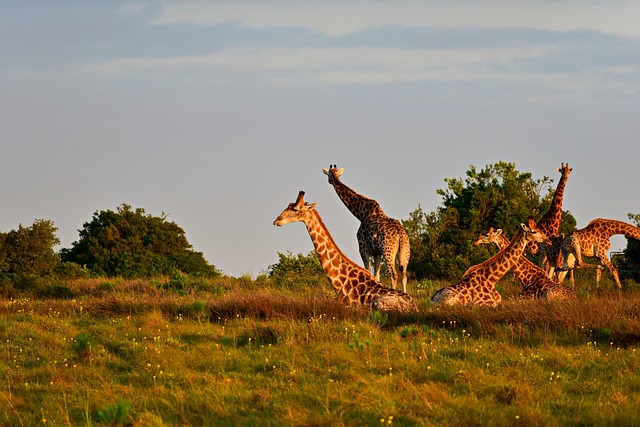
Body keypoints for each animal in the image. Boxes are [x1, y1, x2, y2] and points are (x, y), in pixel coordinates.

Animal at [322, 164, 410, 292]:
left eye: (328, 174)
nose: (330, 181)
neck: (361, 214)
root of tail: (401, 233)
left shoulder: (363, 248)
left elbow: (368, 272)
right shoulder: (377, 252)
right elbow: (376, 276)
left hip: (388, 251)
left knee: (394, 275)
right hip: (405, 252)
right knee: (404, 275)